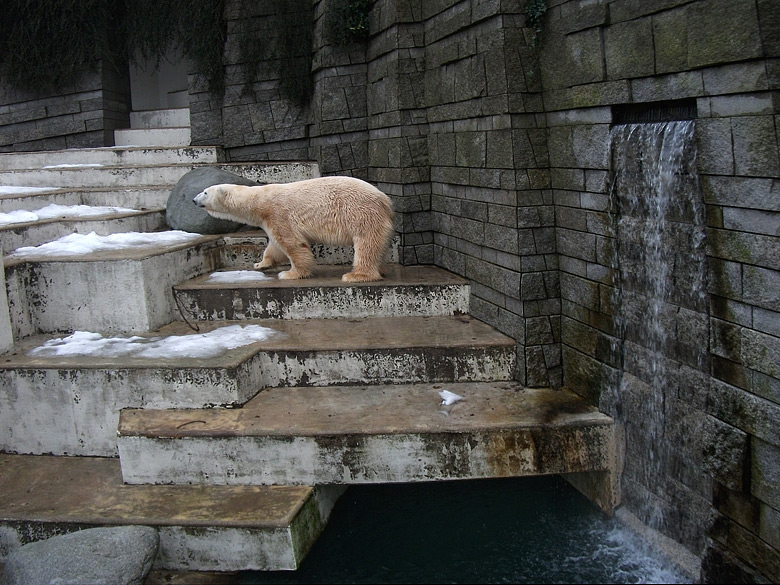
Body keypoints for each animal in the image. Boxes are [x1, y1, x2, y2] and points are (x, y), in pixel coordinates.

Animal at [192, 175, 394, 282]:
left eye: (205, 192)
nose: (193, 200)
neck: (259, 200)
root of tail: (385, 199)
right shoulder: (268, 220)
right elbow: (274, 246)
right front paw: (261, 264)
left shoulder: (277, 213)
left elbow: (292, 244)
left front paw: (290, 273)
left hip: (360, 213)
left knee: (366, 242)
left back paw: (356, 275)